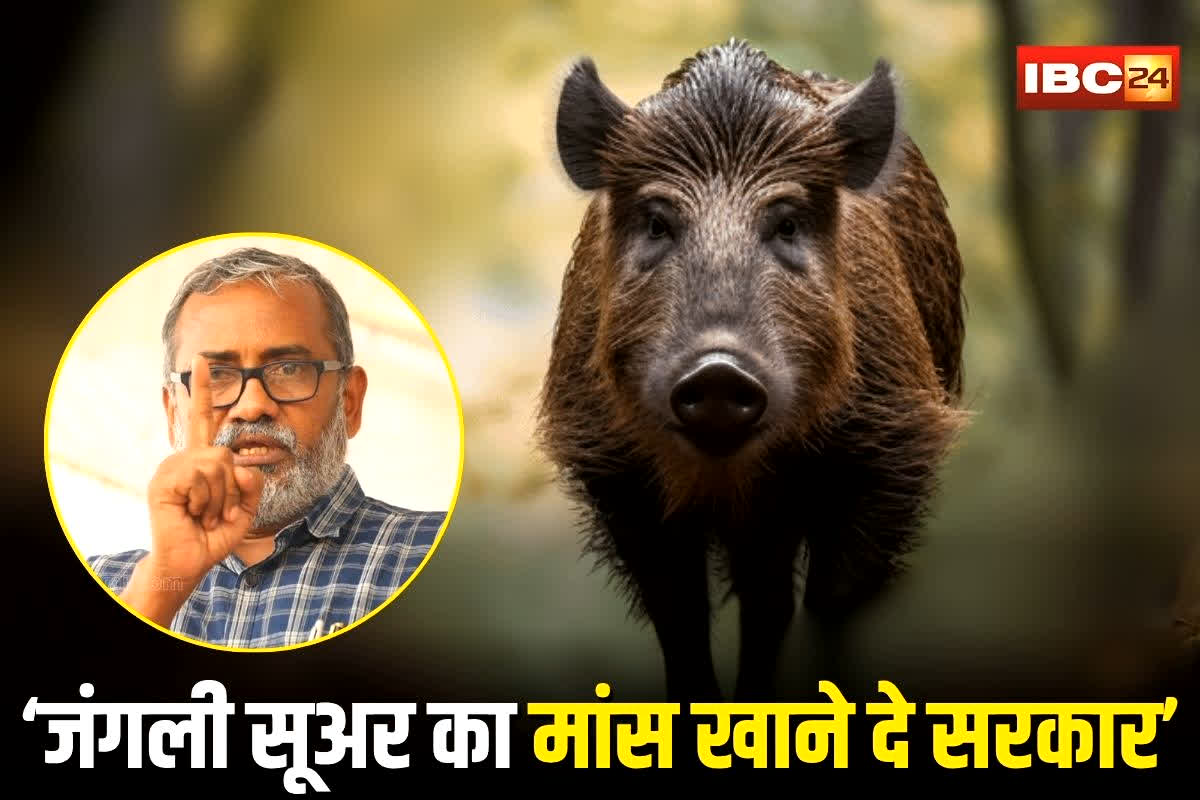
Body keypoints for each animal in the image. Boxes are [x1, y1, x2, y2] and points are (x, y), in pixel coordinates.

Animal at [536, 39, 968, 701]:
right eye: (658, 222)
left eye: (787, 223)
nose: (718, 368)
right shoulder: (608, 463)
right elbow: (679, 615)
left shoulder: (894, 438)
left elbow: (826, 603)